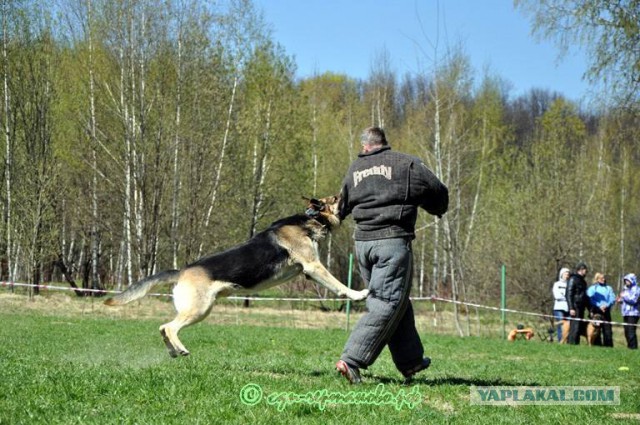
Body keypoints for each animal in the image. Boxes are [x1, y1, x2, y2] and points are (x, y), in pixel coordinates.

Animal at [104, 195, 364, 354]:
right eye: (337, 198)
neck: (312, 217)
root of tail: (181, 271)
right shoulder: (313, 266)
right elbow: (339, 285)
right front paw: (358, 294)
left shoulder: (307, 273)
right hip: (199, 309)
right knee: (168, 327)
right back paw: (181, 349)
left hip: (200, 310)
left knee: (162, 328)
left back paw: (173, 352)